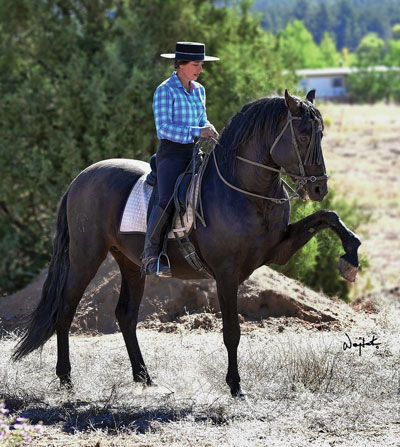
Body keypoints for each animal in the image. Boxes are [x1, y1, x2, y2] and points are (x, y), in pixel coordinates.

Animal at [14, 89, 360, 398]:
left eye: (321, 134)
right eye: (302, 136)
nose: (318, 188)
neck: (244, 191)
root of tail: (80, 179)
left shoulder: (278, 251)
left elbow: (328, 217)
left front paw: (350, 260)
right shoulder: (226, 273)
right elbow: (231, 331)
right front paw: (236, 387)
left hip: (130, 263)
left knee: (125, 314)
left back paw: (145, 379)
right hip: (86, 257)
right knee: (65, 310)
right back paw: (66, 380)